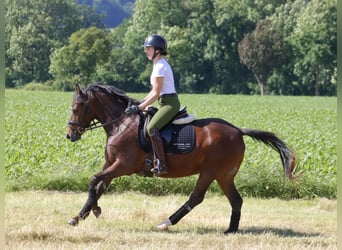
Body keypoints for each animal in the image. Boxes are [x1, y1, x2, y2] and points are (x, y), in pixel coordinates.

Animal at [66, 83, 296, 233]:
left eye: (76, 107)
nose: (70, 135)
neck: (121, 124)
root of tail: (238, 131)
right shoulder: (112, 164)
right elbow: (99, 186)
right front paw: (79, 216)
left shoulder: (123, 165)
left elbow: (93, 181)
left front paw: (94, 211)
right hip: (225, 175)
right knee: (236, 200)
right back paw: (230, 230)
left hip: (211, 171)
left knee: (196, 198)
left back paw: (166, 223)